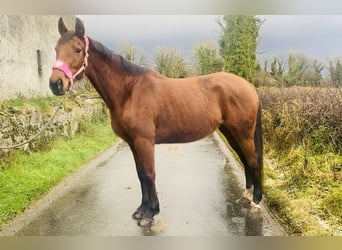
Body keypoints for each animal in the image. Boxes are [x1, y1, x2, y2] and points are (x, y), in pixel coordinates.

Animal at [48, 16, 264, 226]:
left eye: (77, 49)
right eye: (56, 49)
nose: (55, 84)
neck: (130, 91)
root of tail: (250, 87)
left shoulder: (144, 141)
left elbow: (149, 174)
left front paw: (150, 213)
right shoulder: (133, 143)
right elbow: (140, 174)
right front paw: (141, 210)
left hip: (242, 133)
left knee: (253, 160)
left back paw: (256, 201)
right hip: (231, 132)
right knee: (245, 160)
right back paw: (246, 196)